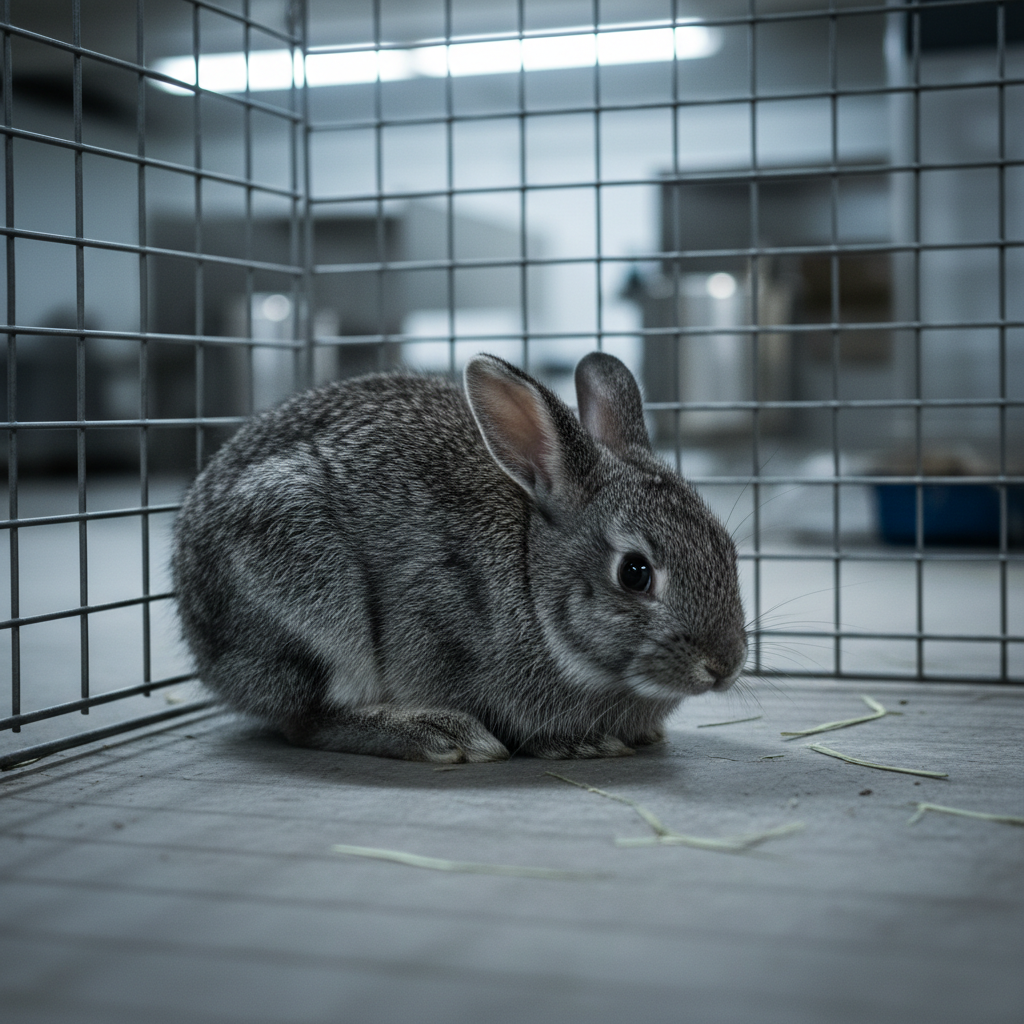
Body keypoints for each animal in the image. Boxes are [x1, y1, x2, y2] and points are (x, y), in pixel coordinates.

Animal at [171, 352, 748, 762]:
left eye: (728, 549)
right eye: (635, 573)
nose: (725, 665)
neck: (531, 573)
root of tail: (203, 645)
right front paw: (576, 742)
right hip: (315, 604)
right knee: (306, 720)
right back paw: (437, 734)